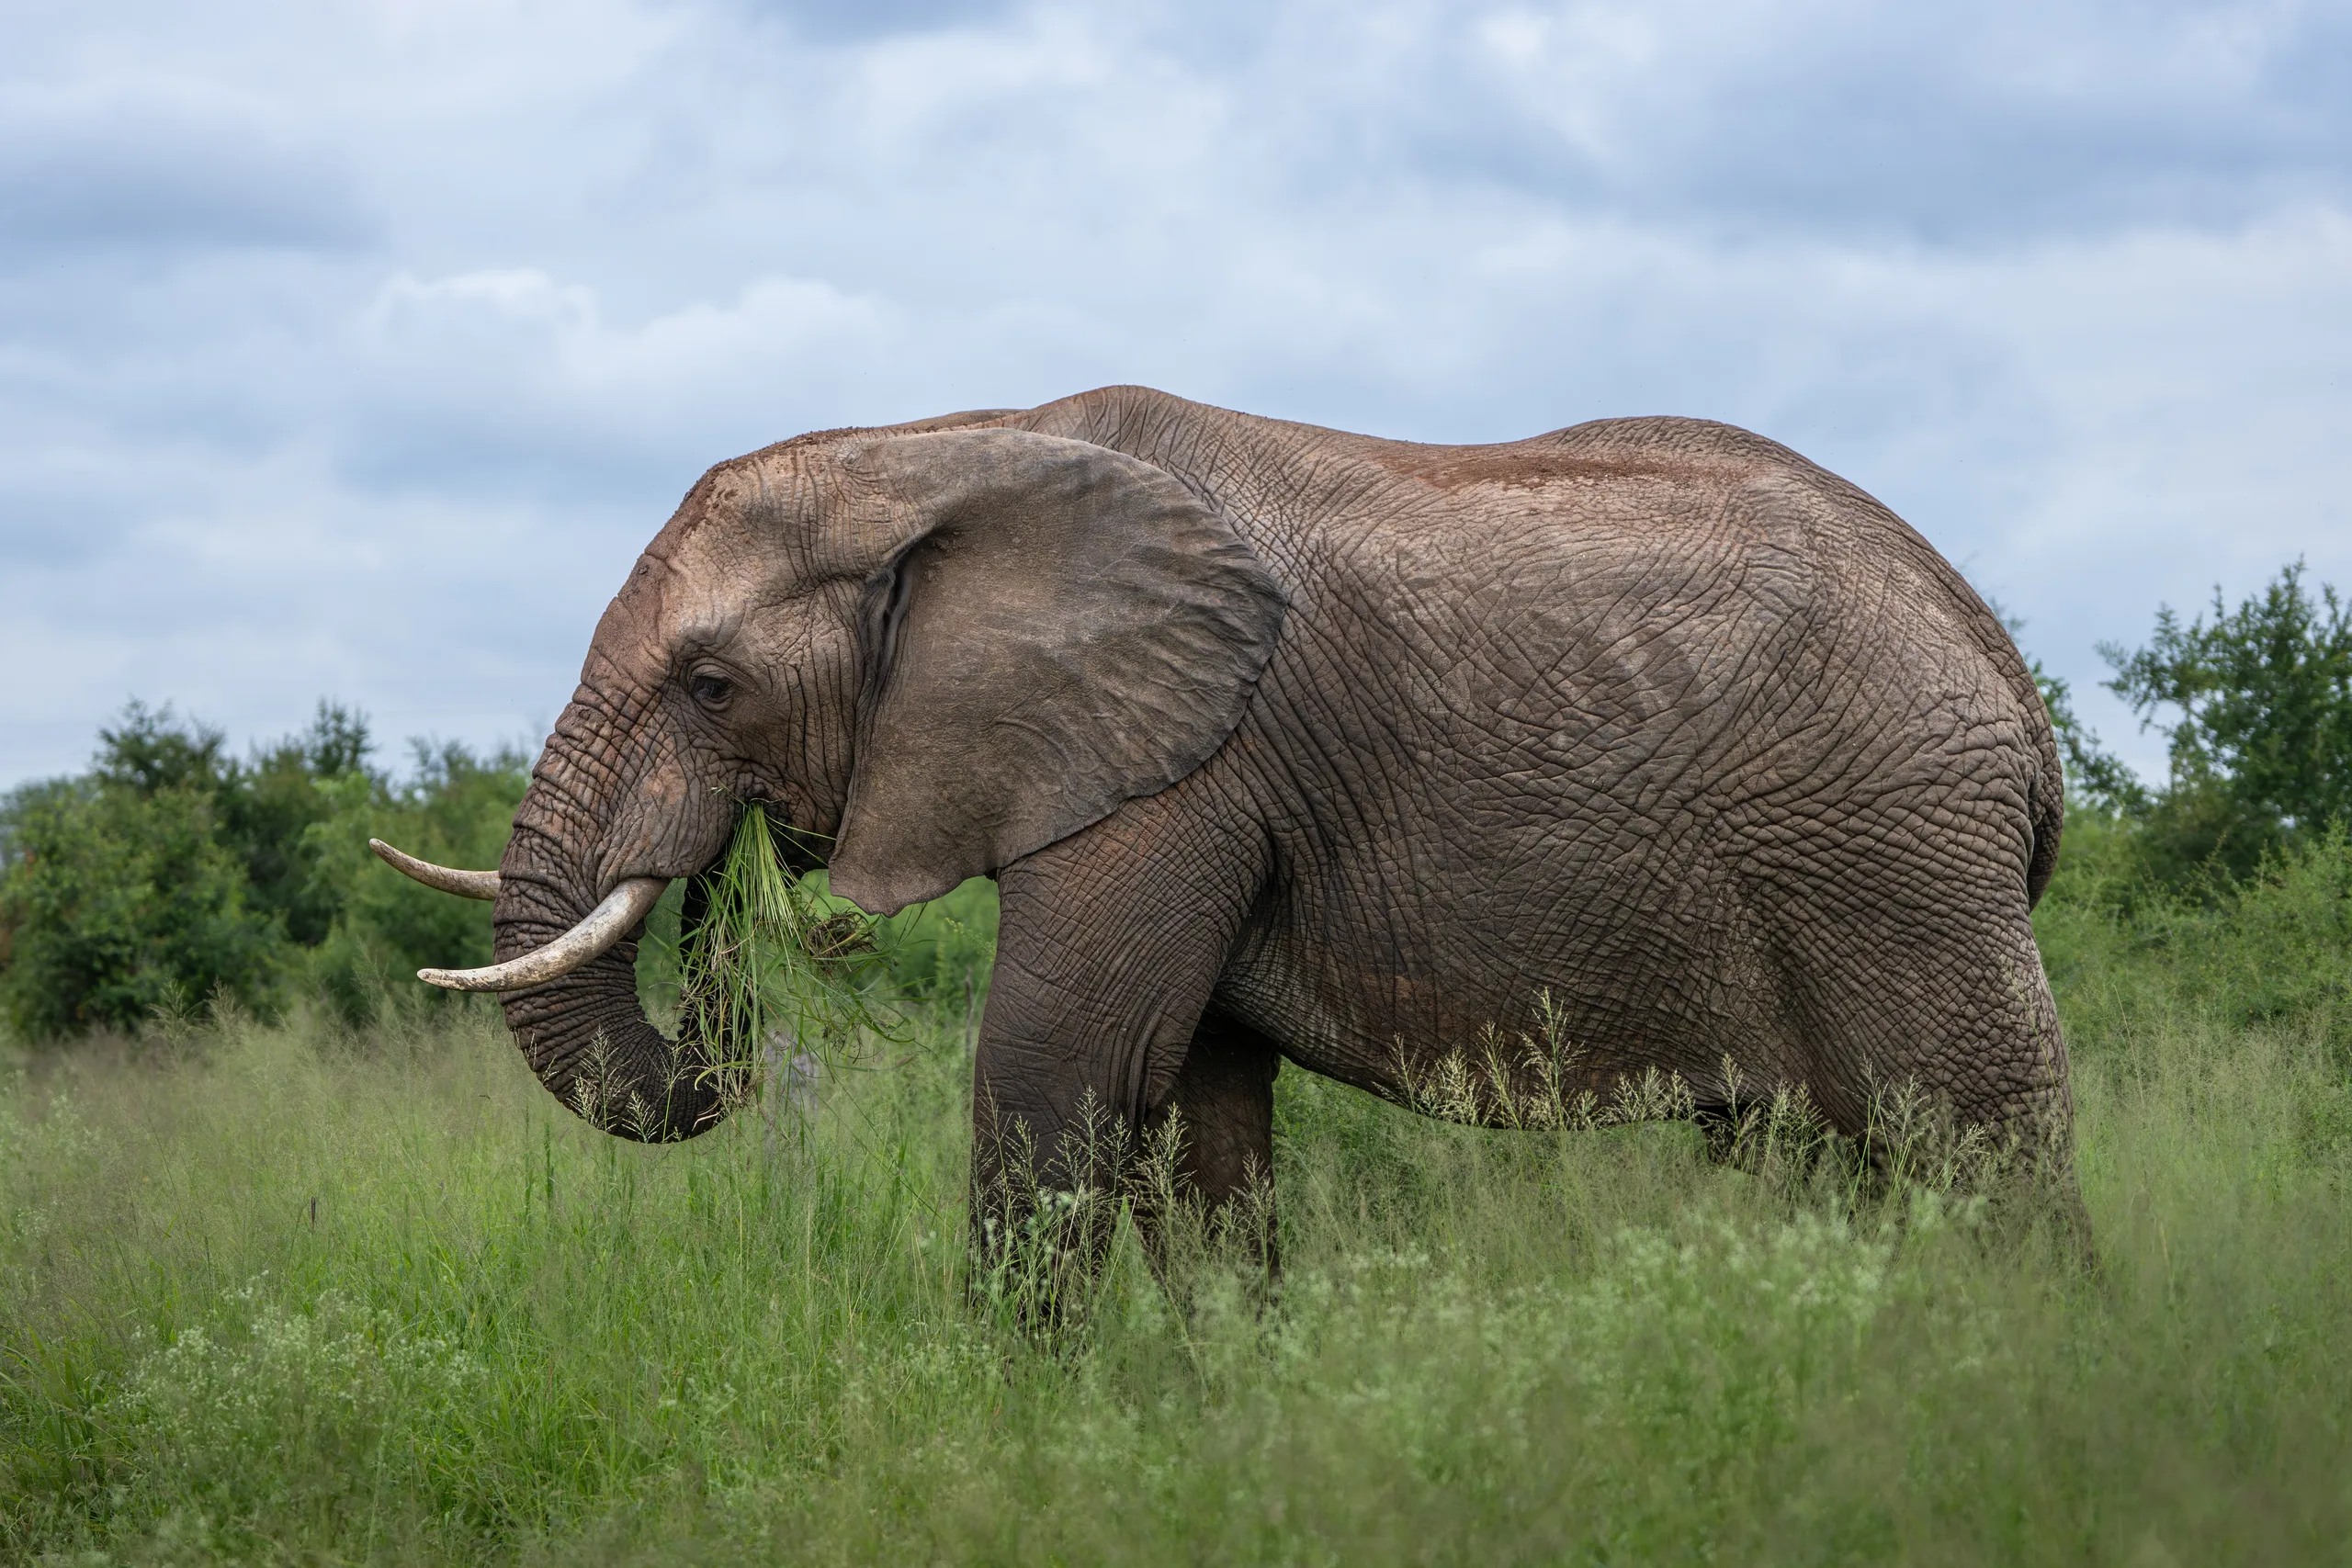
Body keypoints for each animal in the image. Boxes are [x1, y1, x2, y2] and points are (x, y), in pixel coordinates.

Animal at [377, 384, 2076, 1257]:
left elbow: (1059, 1074)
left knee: (1991, 1144)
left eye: (712, 685)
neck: (948, 442)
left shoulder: (1182, 766)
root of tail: (2000, 662)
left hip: (1899, 859)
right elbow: (1197, 1116)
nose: (728, 899)